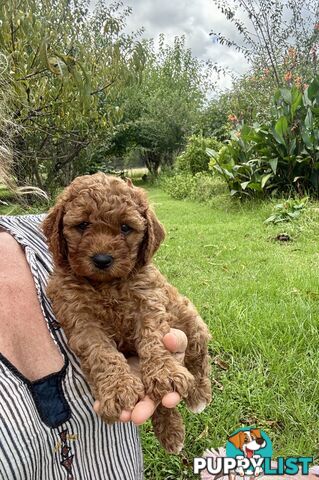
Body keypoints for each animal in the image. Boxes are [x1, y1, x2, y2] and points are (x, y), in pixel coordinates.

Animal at [42, 172, 212, 454]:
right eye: (82, 225)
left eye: (125, 228)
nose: (102, 260)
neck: (107, 284)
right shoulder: (81, 318)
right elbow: (102, 353)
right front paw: (118, 388)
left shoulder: (148, 300)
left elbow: (154, 338)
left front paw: (164, 372)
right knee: (163, 401)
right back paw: (171, 432)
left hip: (191, 320)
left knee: (199, 357)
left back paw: (199, 396)